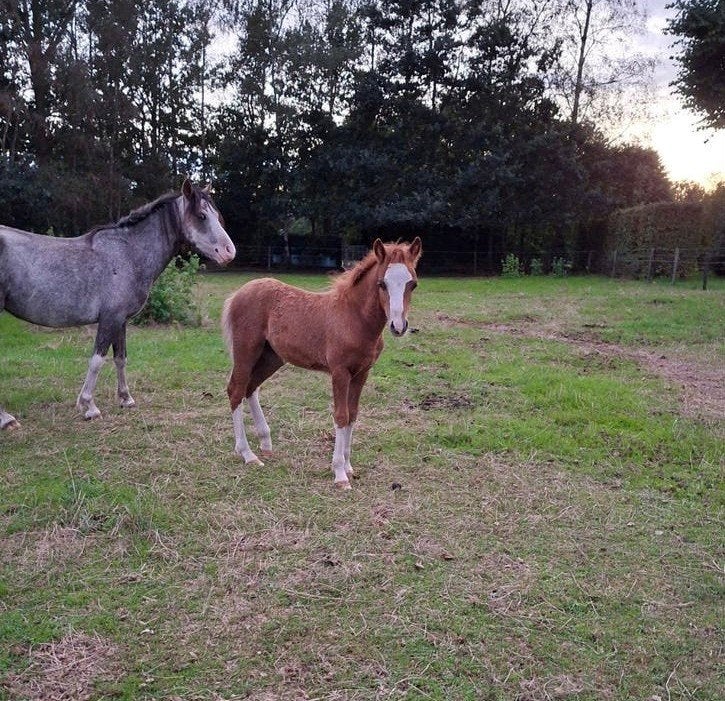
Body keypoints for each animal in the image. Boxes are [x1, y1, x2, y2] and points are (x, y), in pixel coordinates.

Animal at [0, 180, 236, 429]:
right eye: (201, 216)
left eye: (217, 216)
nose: (229, 252)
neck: (128, 253)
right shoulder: (109, 319)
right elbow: (97, 360)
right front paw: (89, 406)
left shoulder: (120, 321)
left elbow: (120, 358)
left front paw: (126, 399)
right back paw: (6, 420)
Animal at [221, 237, 422, 490]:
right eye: (381, 283)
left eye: (412, 284)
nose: (398, 326)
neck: (354, 319)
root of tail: (239, 292)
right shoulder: (340, 372)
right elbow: (341, 416)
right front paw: (340, 474)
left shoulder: (362, 373)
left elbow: (353, 414)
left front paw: (349, 467)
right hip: (246, 350)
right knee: (236, 390)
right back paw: (248, 454)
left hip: (272, 357)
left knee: (250, 387)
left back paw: (266, 444)